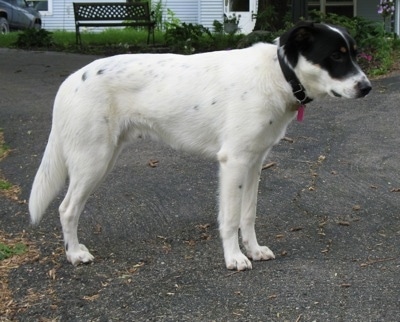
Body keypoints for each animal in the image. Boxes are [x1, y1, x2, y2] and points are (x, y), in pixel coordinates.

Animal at [28, 21, 372, 270]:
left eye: (354, 53)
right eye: (336, 55)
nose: (367, 87)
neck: (278, 74)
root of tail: (71, 80)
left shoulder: (255, 162)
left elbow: (248, 215)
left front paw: (254, 249)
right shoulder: (233, 162)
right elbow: (230, 218)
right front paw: (234, 258)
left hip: (104, 158)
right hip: (93, 161)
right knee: (67, 208)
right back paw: (74, 254)